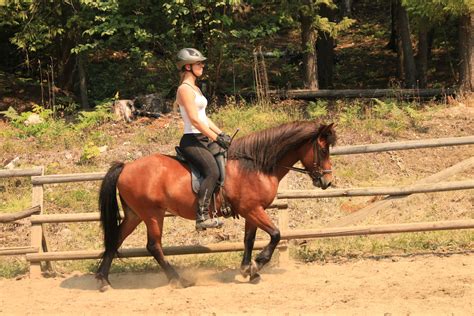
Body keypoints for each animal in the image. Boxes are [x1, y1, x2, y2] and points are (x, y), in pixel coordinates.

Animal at [94, 121, 336, 292]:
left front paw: (248, 270)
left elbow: (248, 240)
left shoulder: (251, 211)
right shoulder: (253, 210)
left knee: (115, 240)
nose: (327, 181)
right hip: (153, 214)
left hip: (135, 214)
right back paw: (178, 280)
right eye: (323, 150)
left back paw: (103, 281)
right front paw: (258, 264)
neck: (254, 165)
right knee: (153, 246)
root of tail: (126, 167)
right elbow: (276, 234)